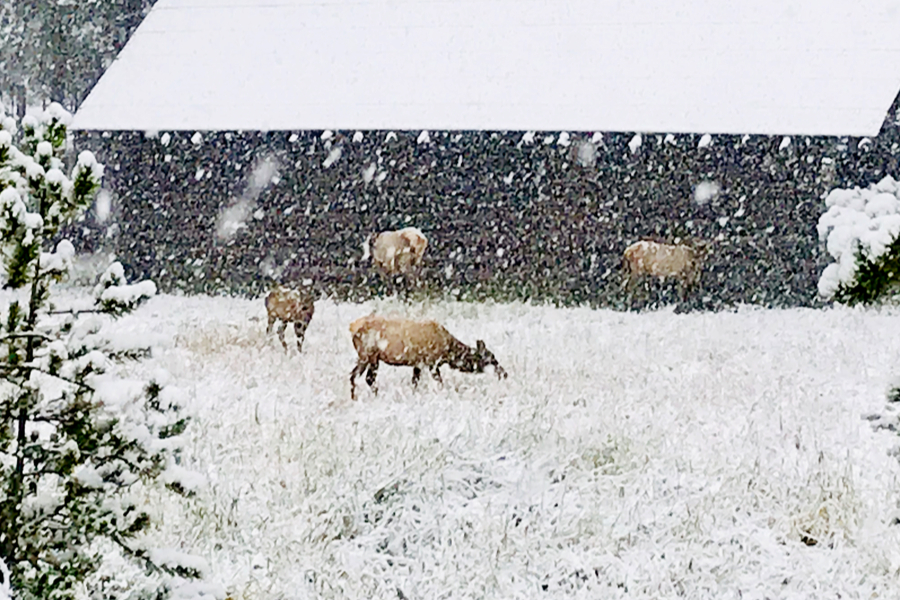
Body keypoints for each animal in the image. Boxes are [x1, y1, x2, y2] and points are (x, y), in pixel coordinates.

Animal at [348, 314, 506, 398]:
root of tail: (351, 327)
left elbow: (414, 382)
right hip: (371, 355)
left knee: (353, 376)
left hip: (364, 357)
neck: (448, 352)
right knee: (368, 378)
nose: (504, 373)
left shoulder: (418, 364)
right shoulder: (432, 362)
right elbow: (440, 383)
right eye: (491, 359)